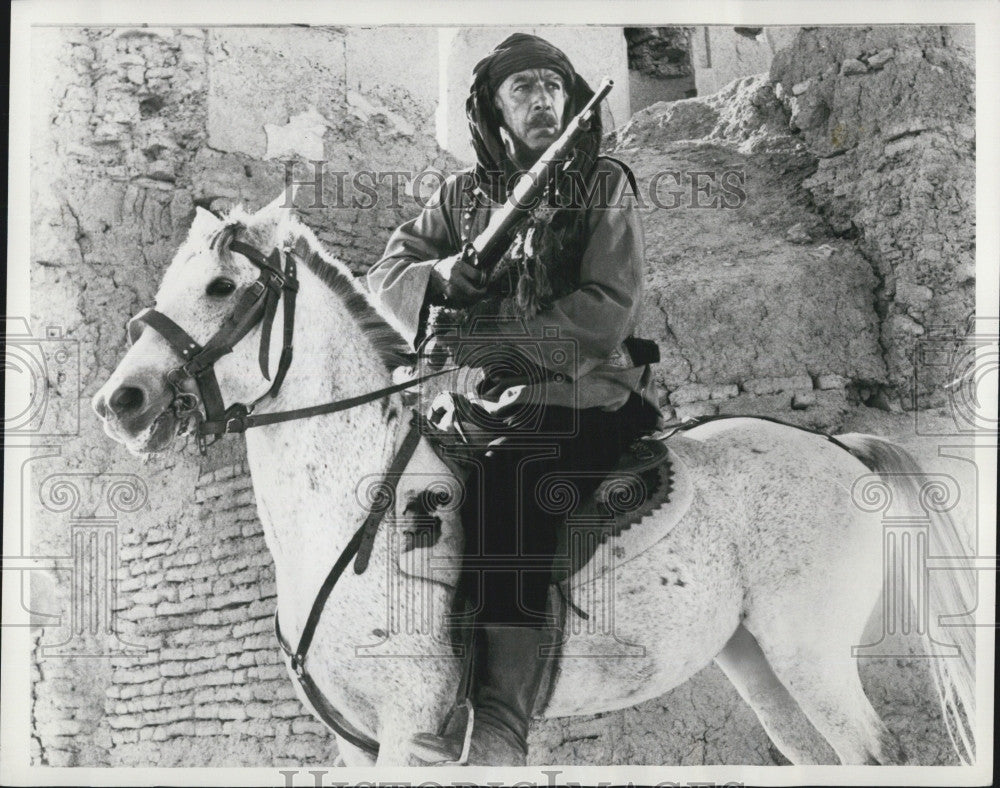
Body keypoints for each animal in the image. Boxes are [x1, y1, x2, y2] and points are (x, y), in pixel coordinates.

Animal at [95, 189, 976, 764]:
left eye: (222, 286)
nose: (121, 403)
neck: (357, 511)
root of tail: (839, 447)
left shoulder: (411, 730)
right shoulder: (357, 741)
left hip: (810, 656)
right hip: (760, 663)